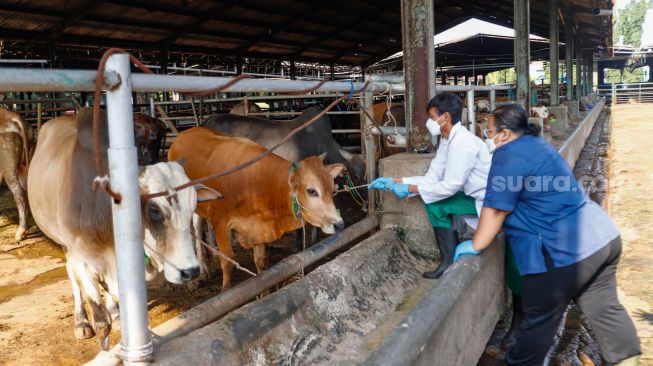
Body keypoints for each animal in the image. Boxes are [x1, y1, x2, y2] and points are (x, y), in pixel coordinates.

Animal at [27, 108, 222, 346]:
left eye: (193, 205)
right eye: (155, 210)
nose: (190, 272)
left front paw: (121, 319)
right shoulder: (81, 258)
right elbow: (102, 323)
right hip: (65, 245)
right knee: (72, 277)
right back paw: (81, 321)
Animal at [168, 126, 344, 292]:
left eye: (332, 188)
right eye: (312, 191)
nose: (339, 224)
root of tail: (184, 134)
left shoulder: (258, 230)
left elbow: (261, 264)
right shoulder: (221, 222)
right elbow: (227, 262)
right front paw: (225, 290)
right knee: (193, 231)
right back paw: (197, 278)